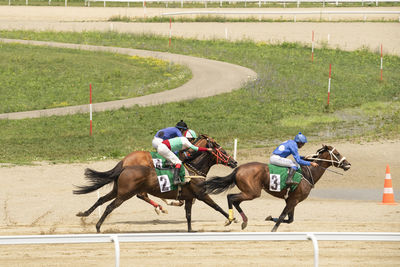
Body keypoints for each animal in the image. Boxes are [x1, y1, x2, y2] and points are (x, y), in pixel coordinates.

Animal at [73, 135, 238, 233]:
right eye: (222, 151)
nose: (234, 162)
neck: (193, 170)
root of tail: (124, 165)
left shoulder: (189, 197)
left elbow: (188, 215)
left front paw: (191, 230)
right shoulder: (201, 194)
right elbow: (216, 207)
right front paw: (231, 219)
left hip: (118, 190)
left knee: (101, 199)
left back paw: (83, 214)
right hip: (125, 194)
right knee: (110, 206)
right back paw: (98, 226)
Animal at [202, 146, 352, 231]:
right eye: (337, 153)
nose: (348, 164)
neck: (307, 173)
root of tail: (238, 169)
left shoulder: (291, 200)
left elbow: (289, 219)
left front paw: (269, 218)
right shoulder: (293, 200)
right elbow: (282, 217)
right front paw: (273, 230)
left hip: (250, 192)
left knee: (235, 200)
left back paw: (243, 221)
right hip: (252, 193)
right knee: (231, 197)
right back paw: (230, 219)